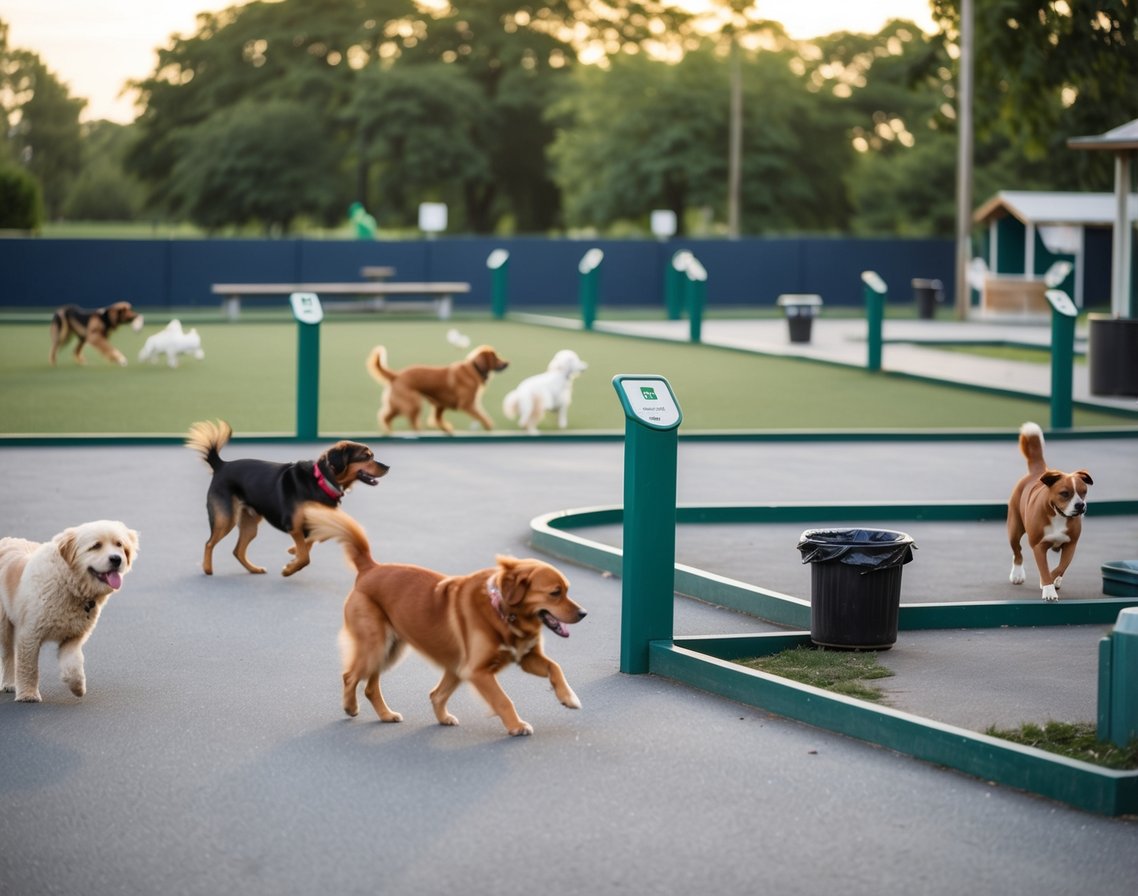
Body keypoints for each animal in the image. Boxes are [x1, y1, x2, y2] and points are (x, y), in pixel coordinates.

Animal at [182, 418, 386, 578]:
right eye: (366, 456)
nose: (388, 467)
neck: (320, 481)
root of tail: (221, 465)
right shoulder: (293, 525)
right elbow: (305, 557)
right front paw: (289, 569)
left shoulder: (317, 524)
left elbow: (310, 543)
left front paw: (292, 554)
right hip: (226, 518)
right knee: (209, 543)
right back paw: (207, 569)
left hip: (250, 524)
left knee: (237, 551)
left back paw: (254, 569)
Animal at [304, 505, 587, 737]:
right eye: (555, 593)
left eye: (567, 590)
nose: (584, 613)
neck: (503, 612)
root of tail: (370, 568)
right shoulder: (478, 671)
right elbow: (503, 700)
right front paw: (516, 726)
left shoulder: (525, 658)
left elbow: (555, 667)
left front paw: (568, 697)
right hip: (377, 646)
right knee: (350, 676)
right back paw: (350, 707)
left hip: (403, 653)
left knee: (406, 691)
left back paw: (392, 715)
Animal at [366, 343, 509, 434]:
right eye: (495, 357)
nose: (507, 363)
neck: (473, 369)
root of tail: (396, 375)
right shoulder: (467, 404)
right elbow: (482, 416)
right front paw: (489, 427)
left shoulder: (440, 405)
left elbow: (438, 420)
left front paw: (447, 430)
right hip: (414, 403)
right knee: (411, 421)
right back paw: (418, 432)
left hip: (398, 405)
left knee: (385, 417)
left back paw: (389, 432)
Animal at [1010, 421, 1087, 601]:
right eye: (1065, 493)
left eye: (1084, 492)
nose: (1080, 505)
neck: (1058, 515)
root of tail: (1039, 471)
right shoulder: (1038, 546)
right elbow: (1044, 569)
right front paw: (1049, 590)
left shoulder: (1071, 544)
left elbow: (1060, 567)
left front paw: (1052, 580)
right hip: (1014, 529)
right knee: (1017, 551)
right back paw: (1017, 574)